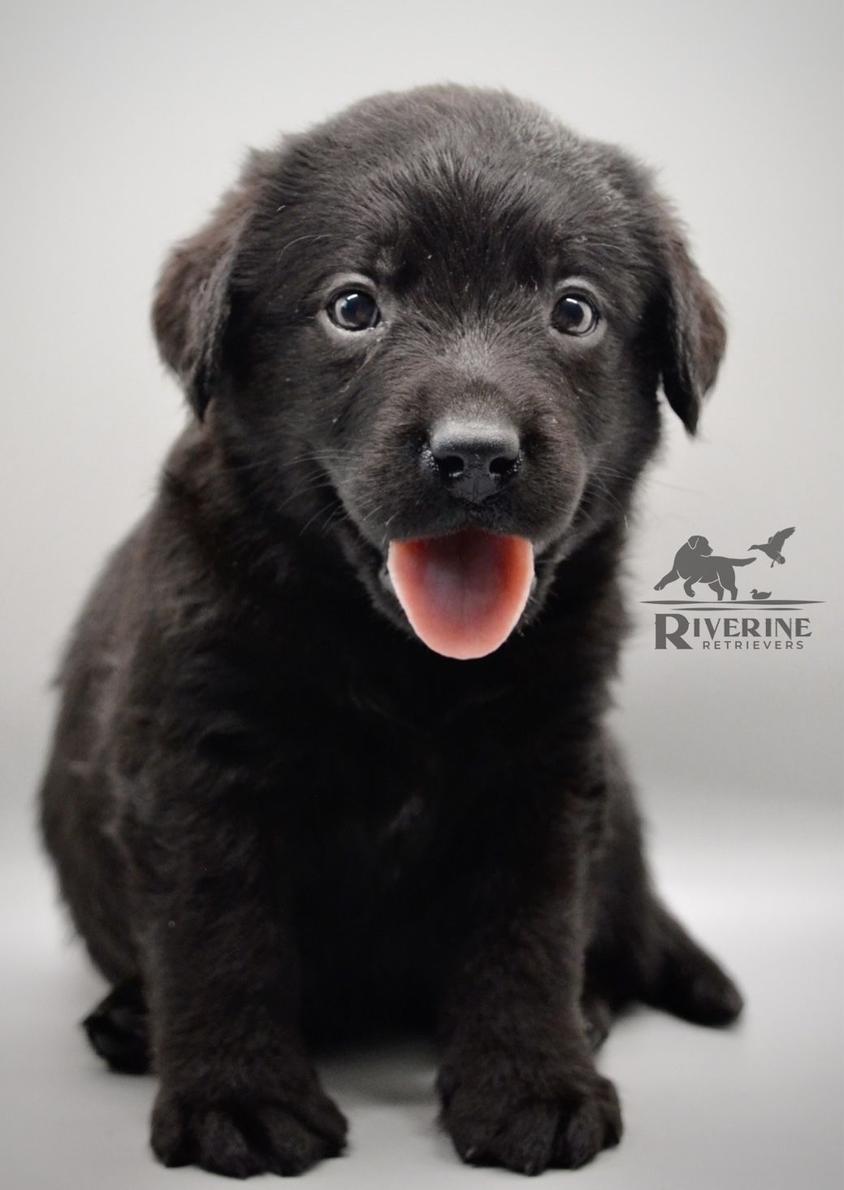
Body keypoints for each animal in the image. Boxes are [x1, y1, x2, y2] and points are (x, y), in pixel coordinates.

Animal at [39, 86, 742, 1180]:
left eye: (573, 310)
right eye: (354, 306)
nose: (475, 455)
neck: (406, 662)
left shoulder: (544, 768)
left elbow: (527, 935)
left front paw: (531, 1082)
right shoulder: (199, 763)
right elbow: (219, 937)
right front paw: (239, 1097)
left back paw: (588, 1010)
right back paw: (129, 1021)